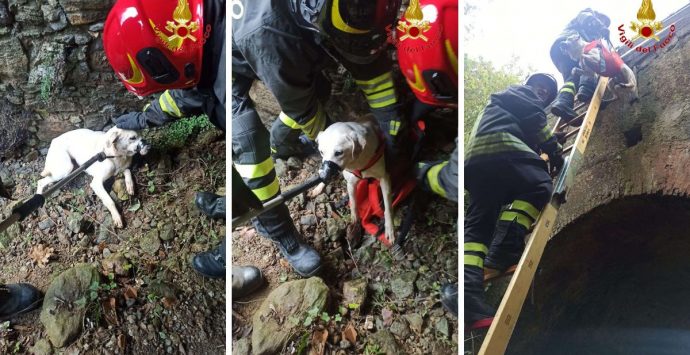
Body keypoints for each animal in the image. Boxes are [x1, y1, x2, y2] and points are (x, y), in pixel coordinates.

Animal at [314, 118, 396, 246]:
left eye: (339, 152)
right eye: (321, 152)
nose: (324, 175)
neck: (358, 162)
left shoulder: (384, 178)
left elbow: (388, 208)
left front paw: (390, 229)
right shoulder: (351, 183)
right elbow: (353, 202)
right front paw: (354, 219)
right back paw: (319, 187)